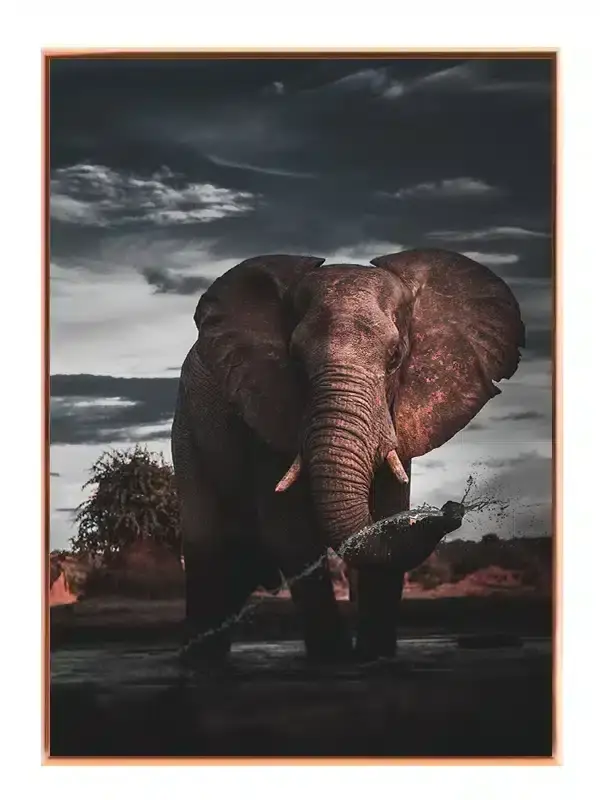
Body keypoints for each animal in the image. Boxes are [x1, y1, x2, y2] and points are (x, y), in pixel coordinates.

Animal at [171, 248, 524, 664]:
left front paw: (375, 658)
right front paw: (333, 661)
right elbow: (290, 534)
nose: (453, 508)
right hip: (188, 434)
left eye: (395, 357)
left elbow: (386, 515)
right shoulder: (265, 410)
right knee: (208, 554)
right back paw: (200, 667)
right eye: (294, 359)